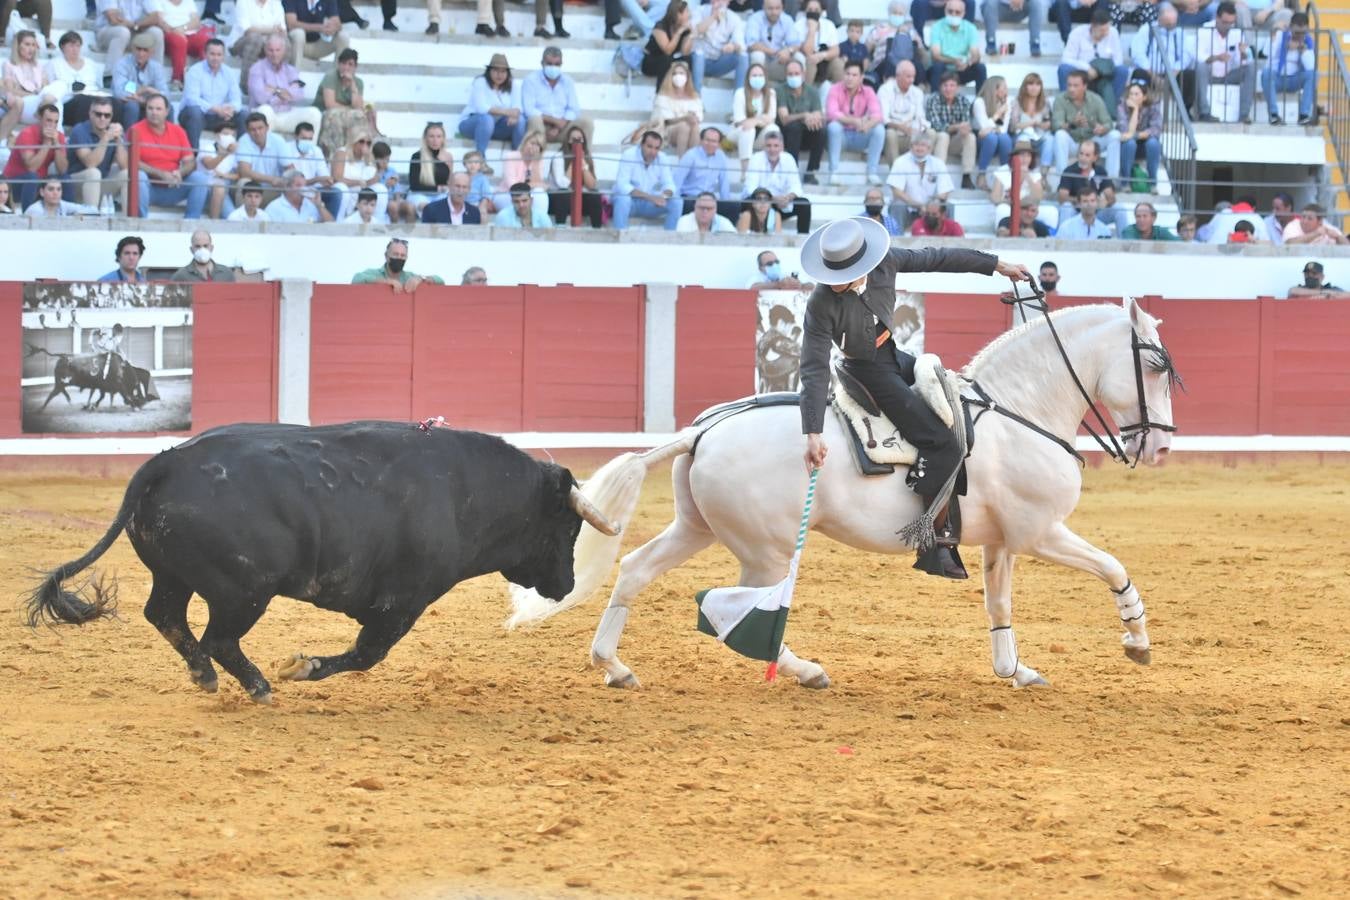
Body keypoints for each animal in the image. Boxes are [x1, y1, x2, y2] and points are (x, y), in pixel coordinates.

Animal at [27, 423, 618, 701]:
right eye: (568, 527)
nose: (566, 585)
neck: (466, 490)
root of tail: (165, 462)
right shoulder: (403, 601)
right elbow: (367, 654)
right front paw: (301, 666)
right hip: (244, 590)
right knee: (218, 637)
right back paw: (259, 685)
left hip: (176, 575)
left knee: (167, 616)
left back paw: (205, 676)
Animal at [507, 299, 1182, 696]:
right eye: (1153, 367)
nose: (1160, 447)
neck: (1020, 408)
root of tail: (701, 430)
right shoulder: (1042, 533)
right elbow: (1113, 567)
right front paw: (1138, 644)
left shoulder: (1003, 542)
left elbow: (999, 603)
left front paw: (1014, 670)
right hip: (764, 551)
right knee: (741, 610)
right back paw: (806, 670)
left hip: (695, 528)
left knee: (635, 569)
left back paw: (614, 666)